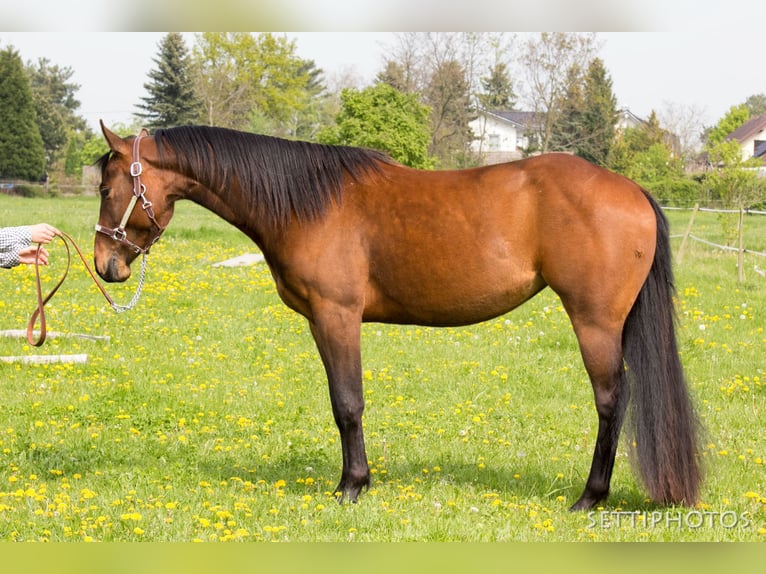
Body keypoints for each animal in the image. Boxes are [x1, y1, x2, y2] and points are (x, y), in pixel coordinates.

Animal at [91, 124, 704, 510]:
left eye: (106, 185)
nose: (105, 265)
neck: (307, 202)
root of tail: (633, 190)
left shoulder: (335, 317)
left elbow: (347, 404)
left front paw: (351, 487)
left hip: (595, 322)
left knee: (611, 402)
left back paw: (590, 497)